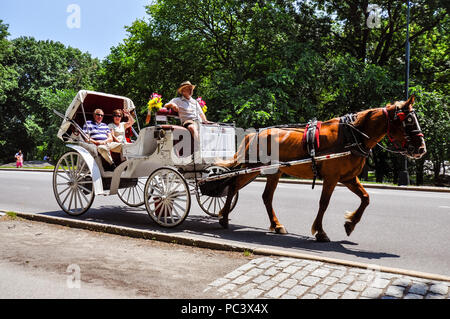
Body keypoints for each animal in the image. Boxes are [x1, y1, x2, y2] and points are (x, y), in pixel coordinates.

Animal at [214, 95, 426, 242]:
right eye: (408, 120)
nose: (421, 149)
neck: (352, 135)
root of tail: (255, 134)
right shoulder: (332, 178)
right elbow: (324, 203)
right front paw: (320, 231)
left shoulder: (349, 178)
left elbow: (366, 198)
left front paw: (350, 223)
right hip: (253, 167)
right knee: (233, 185)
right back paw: (224, 217)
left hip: (274, 172)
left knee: (266, 197)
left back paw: (276, 225)